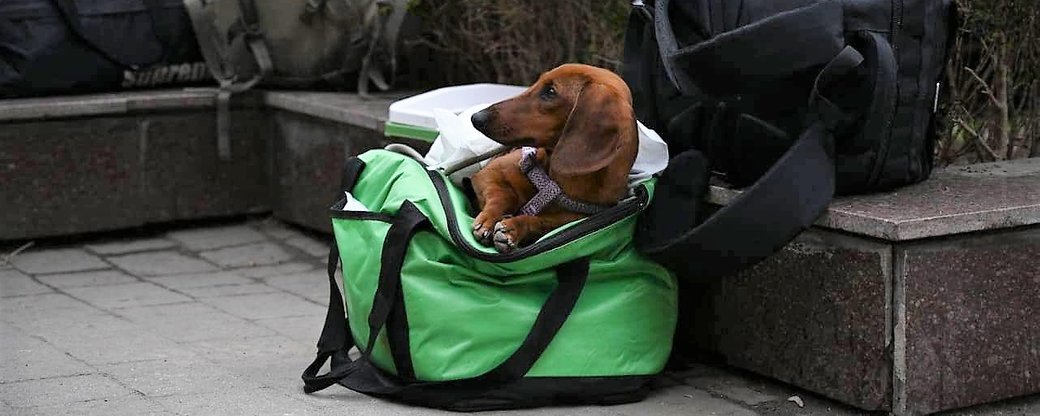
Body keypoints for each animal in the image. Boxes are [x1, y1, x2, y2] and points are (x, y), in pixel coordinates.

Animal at [467, 63, 636, 251]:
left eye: (550, 92)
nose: (476, 117)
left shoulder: (568, 220)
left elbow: (539, 222)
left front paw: (514, 229)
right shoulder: (487, 174)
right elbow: (504, 195)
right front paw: (489, 220)